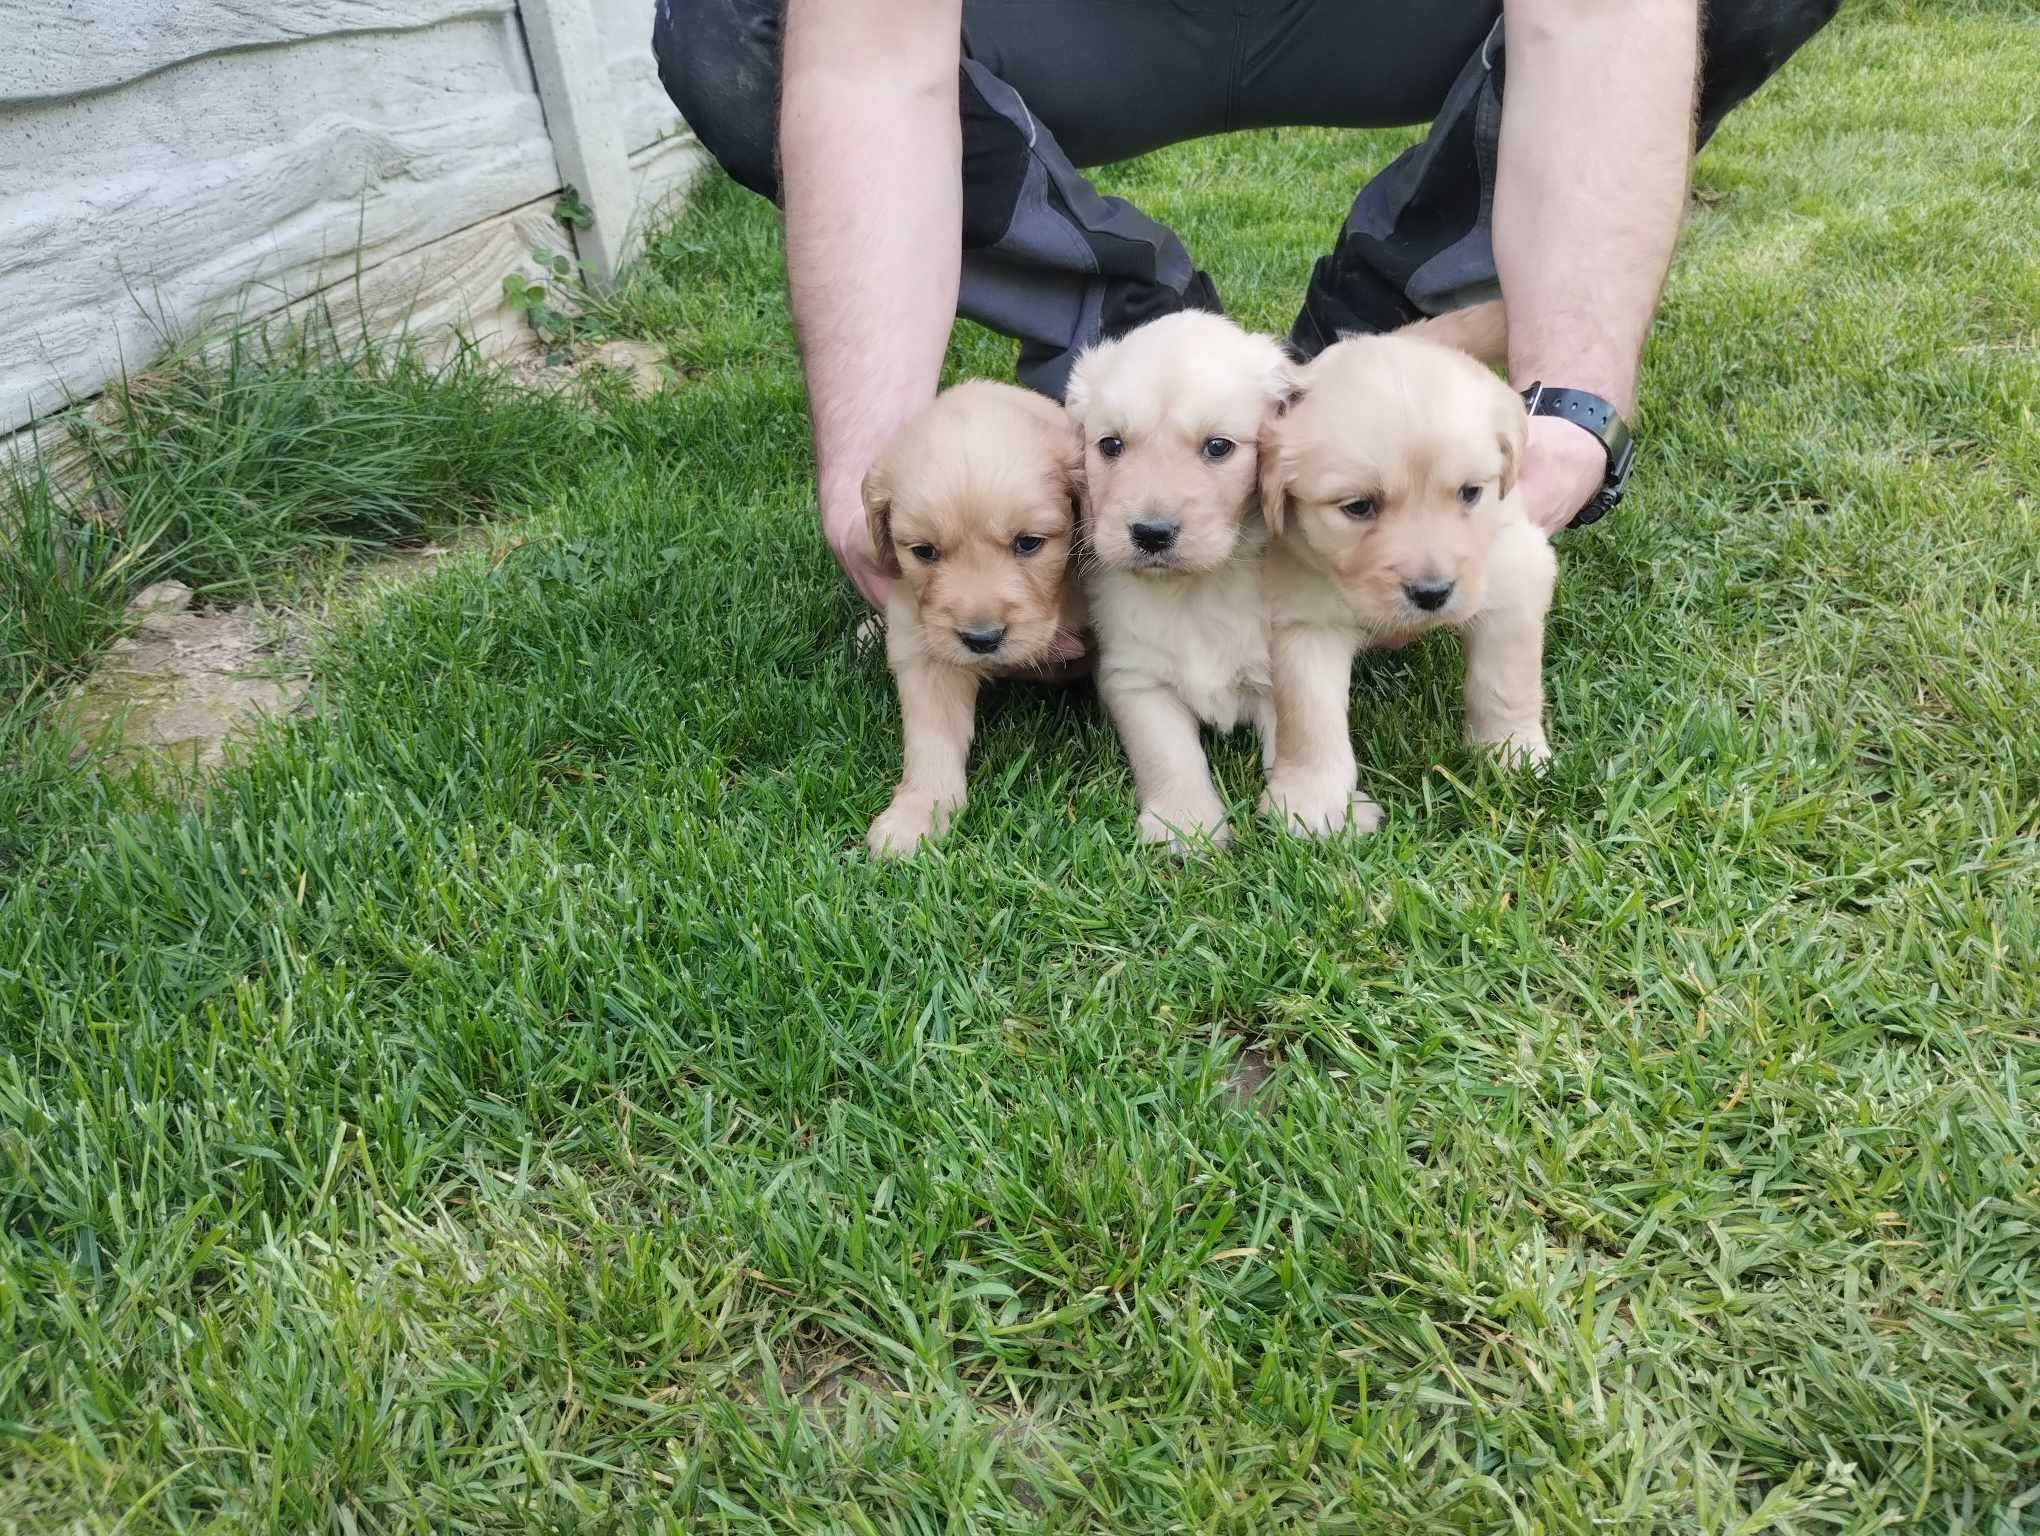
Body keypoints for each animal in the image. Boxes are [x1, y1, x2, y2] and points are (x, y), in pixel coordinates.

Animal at [856, 377, 1085, 856]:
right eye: (924, 551)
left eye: (1029, 543)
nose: (982, 639)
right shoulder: (924, 643)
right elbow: (931, 739)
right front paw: (916, 815)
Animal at [1068, 310, 1289, 852]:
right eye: (1111, 445)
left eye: (1218, 447)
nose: (1151, 533)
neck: (1194, 590)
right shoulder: (1135, 680)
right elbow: (1169, 754)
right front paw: (1186, 825)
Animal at [1248, 330, 1550, 840]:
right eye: (1358, 506)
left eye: (1470, 493)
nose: (1432, 593)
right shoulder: (1304, 621)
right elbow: (1309, 717)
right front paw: (1312, 801)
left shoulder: (1515, 570)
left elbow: (1505, 680)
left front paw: (1512, 750)